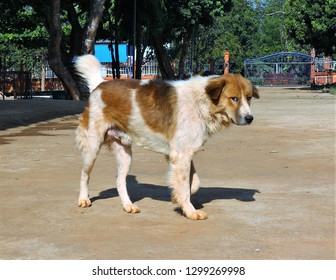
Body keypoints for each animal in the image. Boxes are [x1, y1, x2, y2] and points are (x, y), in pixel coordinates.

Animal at [75, 54, 260, 220]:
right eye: (234, 98)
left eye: (249, 97)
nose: (250, 118)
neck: (201, 102)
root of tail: (100, 86)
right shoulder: (182, 155)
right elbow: (185, 186)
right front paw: (190, 211)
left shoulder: (184, 152)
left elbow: (193, 183)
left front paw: (176, 198)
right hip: (92, 147)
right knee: (84, 175)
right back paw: (83, 199)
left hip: (124, 153)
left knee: (120, 181)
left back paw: (128, 205)